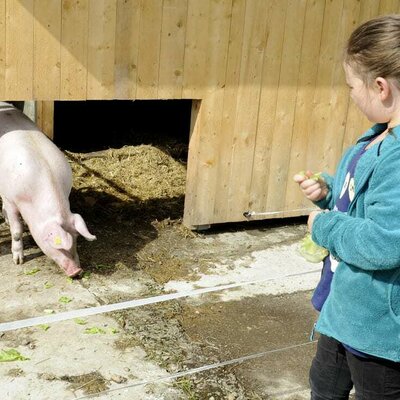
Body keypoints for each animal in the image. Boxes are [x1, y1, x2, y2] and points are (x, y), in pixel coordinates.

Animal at [0, 103, 95, 276]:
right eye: (55, 243)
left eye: (76, 239)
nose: (77, 271)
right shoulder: (11, 199)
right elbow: (16, 231)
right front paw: (18, 261)